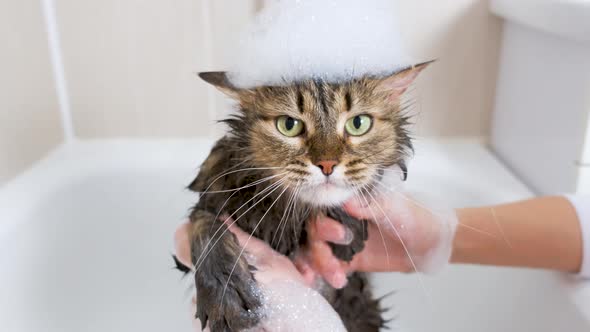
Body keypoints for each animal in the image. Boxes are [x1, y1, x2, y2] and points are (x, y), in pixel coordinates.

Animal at [180, 61, 430, 330]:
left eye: (358, 123)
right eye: (289, 125)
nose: (327, 165)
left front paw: (349, 232)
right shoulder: (213, 189)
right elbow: (206, 229)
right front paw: (224, 292)